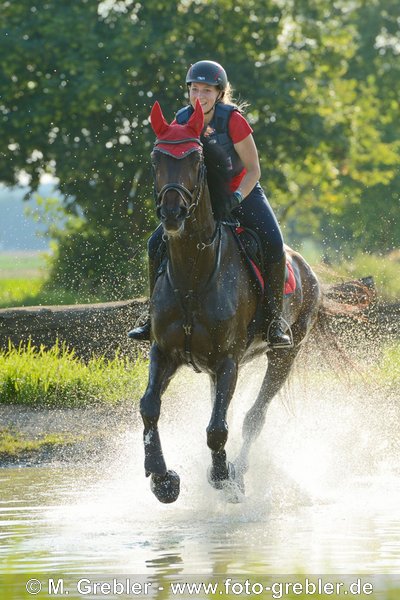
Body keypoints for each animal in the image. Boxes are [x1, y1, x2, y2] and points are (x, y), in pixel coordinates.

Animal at [139, 101, 330, 504]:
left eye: (196, 158)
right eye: (155, 158)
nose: (172, 214)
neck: (194, 275)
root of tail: (307, 269)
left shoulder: (228, 360)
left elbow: (217, 428)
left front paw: (221, 477)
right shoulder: (164, 352)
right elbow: (149, 407)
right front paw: (162, 479)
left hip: (285, 354)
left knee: (253, 417)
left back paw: (238, 473)